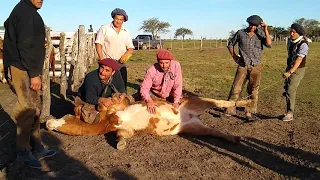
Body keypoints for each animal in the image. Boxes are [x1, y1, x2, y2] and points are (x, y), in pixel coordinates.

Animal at [46, 95, 250, 150]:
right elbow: (122, 136)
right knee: (216, 132)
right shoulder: (123, 129)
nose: (48, 122)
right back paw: (234, 139)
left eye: (68, 116)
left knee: (224, 102)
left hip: (198, 101)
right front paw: (120, 144)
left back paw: (247, 103)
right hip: (195, 129)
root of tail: (191, 116)